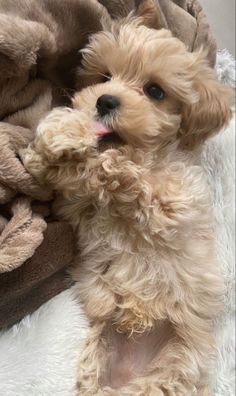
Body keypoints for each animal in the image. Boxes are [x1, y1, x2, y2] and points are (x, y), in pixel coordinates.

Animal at [23, 1, 233, 394]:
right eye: (104, 76)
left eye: (155, 91)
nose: (105, 101)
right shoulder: (73, 204)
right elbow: (61, 173)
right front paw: (60, 134)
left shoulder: (175, 202)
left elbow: (130, 176)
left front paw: (103, 158)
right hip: (99, 354)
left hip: (175, 365)